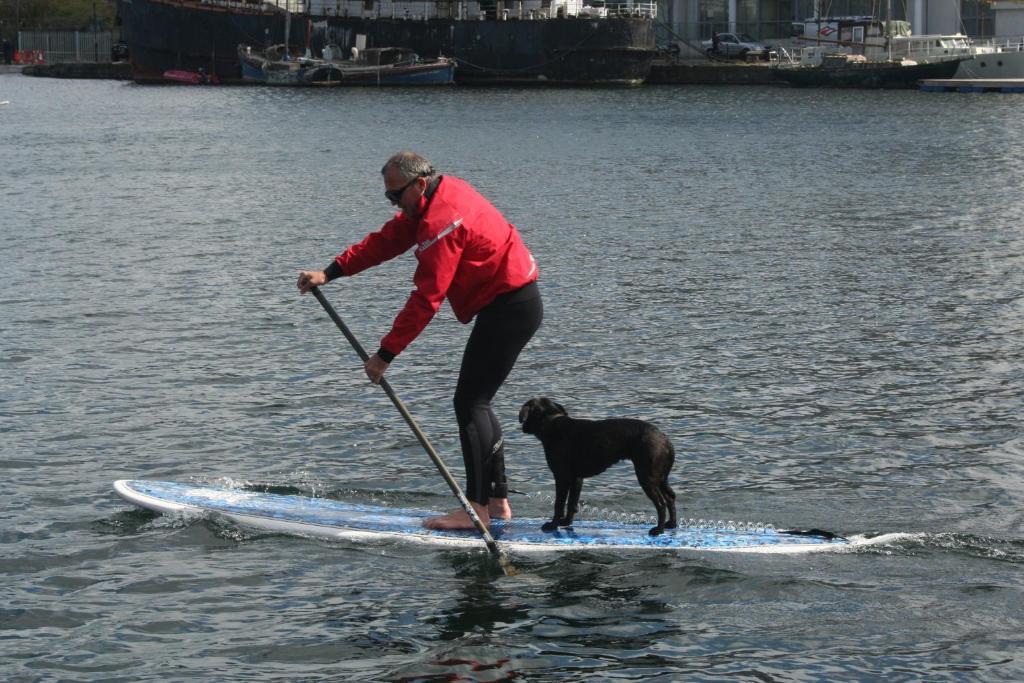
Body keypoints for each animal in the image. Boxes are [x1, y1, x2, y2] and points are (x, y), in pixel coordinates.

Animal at [520, 397, 679, 536]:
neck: (551, 421)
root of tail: (666, 439)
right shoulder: (576, 478)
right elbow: (572, 503)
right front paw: (566, 522)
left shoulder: (562, 477)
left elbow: (559, 504)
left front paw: (553, 525)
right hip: (660, 477)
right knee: (670, 497)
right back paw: (671, 524)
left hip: (647, 477)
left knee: (661, 503)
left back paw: (658, 530)